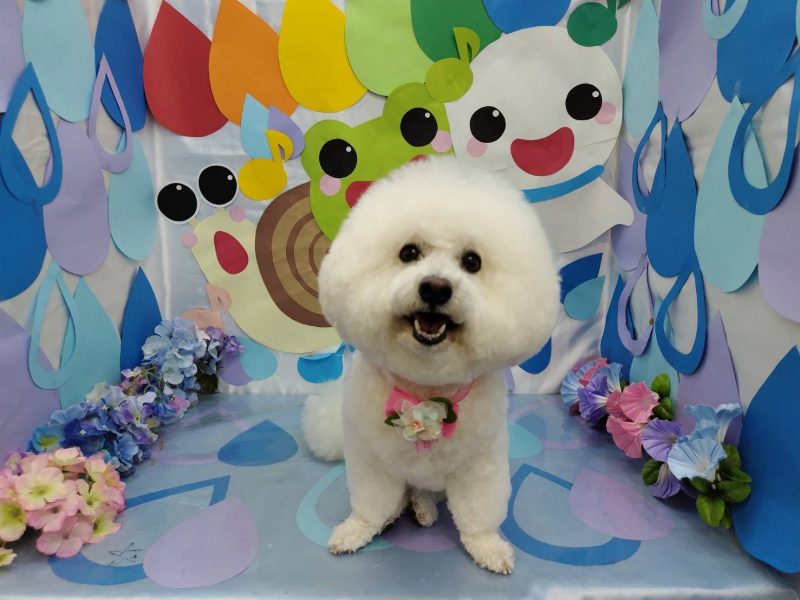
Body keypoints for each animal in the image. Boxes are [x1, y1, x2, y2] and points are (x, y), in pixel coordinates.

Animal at [303, 157, 559, 574]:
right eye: (409, 252)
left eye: (472, 261)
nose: (436, 287)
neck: (425, 391)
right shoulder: (371, 460)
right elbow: (371, 503)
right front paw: (359, 528)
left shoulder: (481, 464)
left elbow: (478, 513)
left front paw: (487, 546)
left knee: (426, 493)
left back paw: (424, 509)